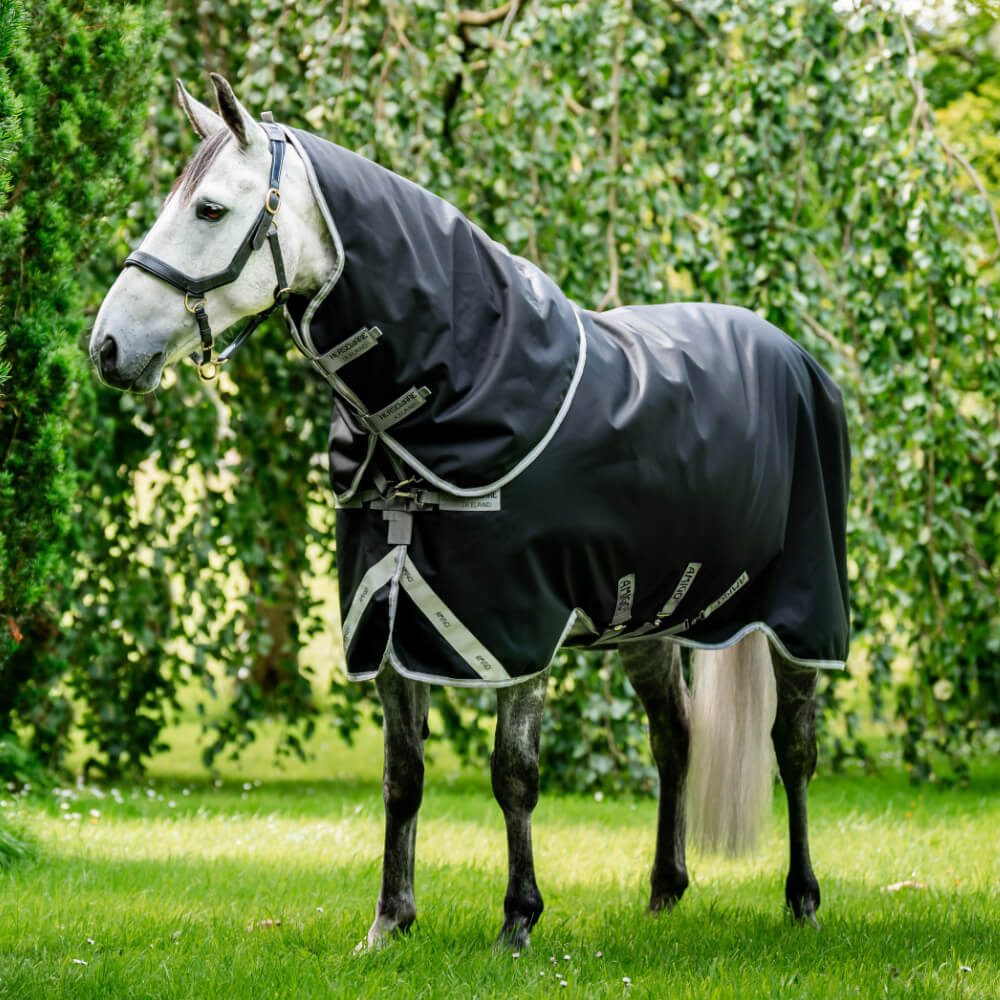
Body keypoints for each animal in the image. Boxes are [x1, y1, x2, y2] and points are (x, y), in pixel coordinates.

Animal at [91, 74, 850, 949]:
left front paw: (518, 920)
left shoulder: (518, 630)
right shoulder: (387, 620)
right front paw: (389, 923)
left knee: (794, 747)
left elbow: (513, 774)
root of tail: (792, 353)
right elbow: (402, 776)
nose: (107, 348)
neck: (451, 397)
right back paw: (665, 891)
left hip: (801, 613)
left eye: (211, 209)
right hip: (646, 620)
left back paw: (804, 898)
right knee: (675, 738)